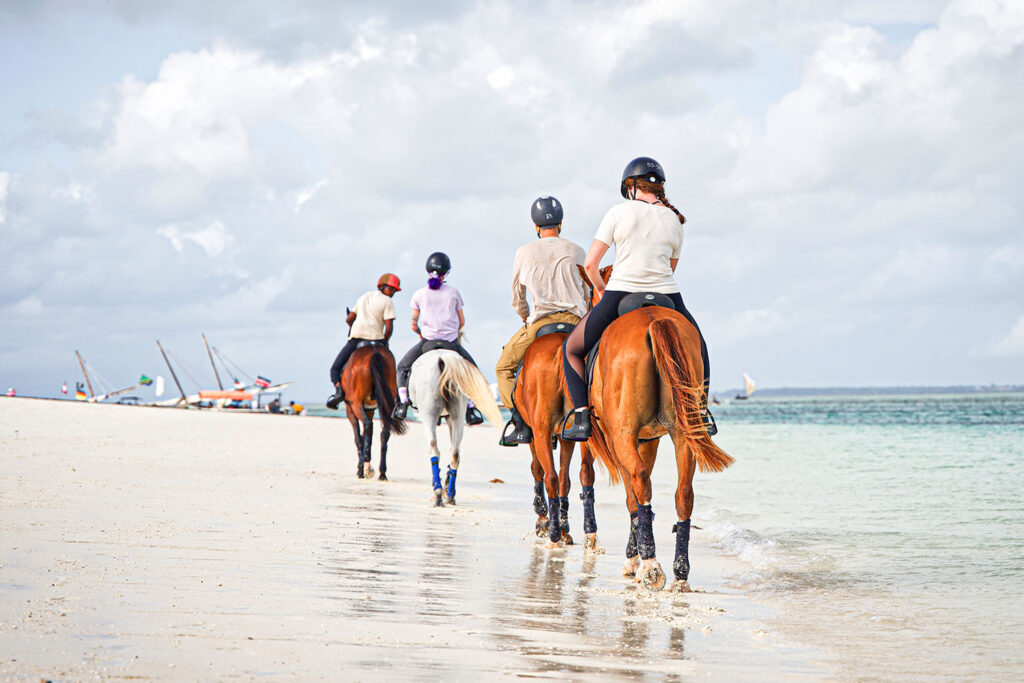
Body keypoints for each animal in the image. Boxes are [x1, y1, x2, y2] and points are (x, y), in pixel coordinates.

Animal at [341, 343, 407, 480]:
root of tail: (374, 351)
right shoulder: (369, 409)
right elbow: (365, 437)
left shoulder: (350, 409)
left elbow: (358, 438)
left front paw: (361, 468)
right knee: (384, 432)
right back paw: (382, 472)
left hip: (355, 404)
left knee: (368, 425)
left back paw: (365, 467)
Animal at [407, 350, 503, 507]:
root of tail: (442, 358)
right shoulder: (450, 418)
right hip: (458, 413)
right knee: (455, 453)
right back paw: (450, 494)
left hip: (428, 413)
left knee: (433, 447)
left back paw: (438, 493)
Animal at [582, 304, 733, 591]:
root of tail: (654, 319)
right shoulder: (649, 439)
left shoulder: (623, 439)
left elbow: (632, 498)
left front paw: (633, 559)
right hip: (684, 433)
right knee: (684, 493)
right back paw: (680, 574)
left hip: (623, 435)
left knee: (640, 482)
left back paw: (651, 566)